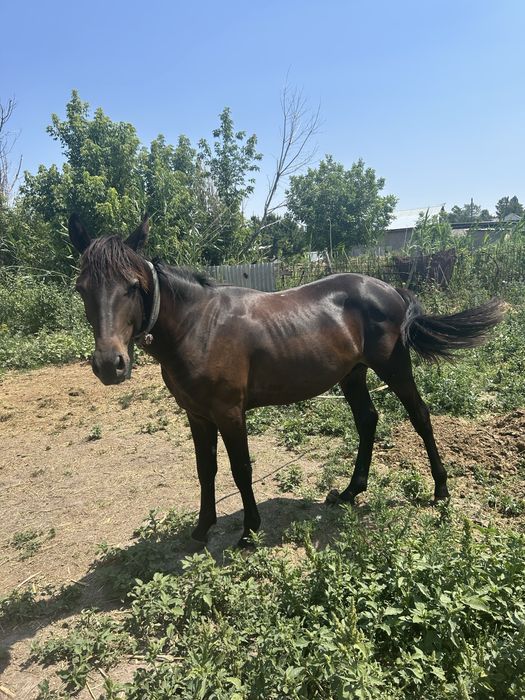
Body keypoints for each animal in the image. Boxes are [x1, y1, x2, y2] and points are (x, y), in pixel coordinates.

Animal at [68, 213, 505, 547]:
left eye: (132, 286)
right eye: (82, 288)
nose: (110, 364)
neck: (199, 326)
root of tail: (389, 288)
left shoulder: (229, 413)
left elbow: (240, 469)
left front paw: (249, 533)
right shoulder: (197, 415)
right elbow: (205, 470)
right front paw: (202, 528)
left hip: (394, 369)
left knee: (421, 417)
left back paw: (441, 490)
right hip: (352, 374)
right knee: (368, 421)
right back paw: (351, 491)